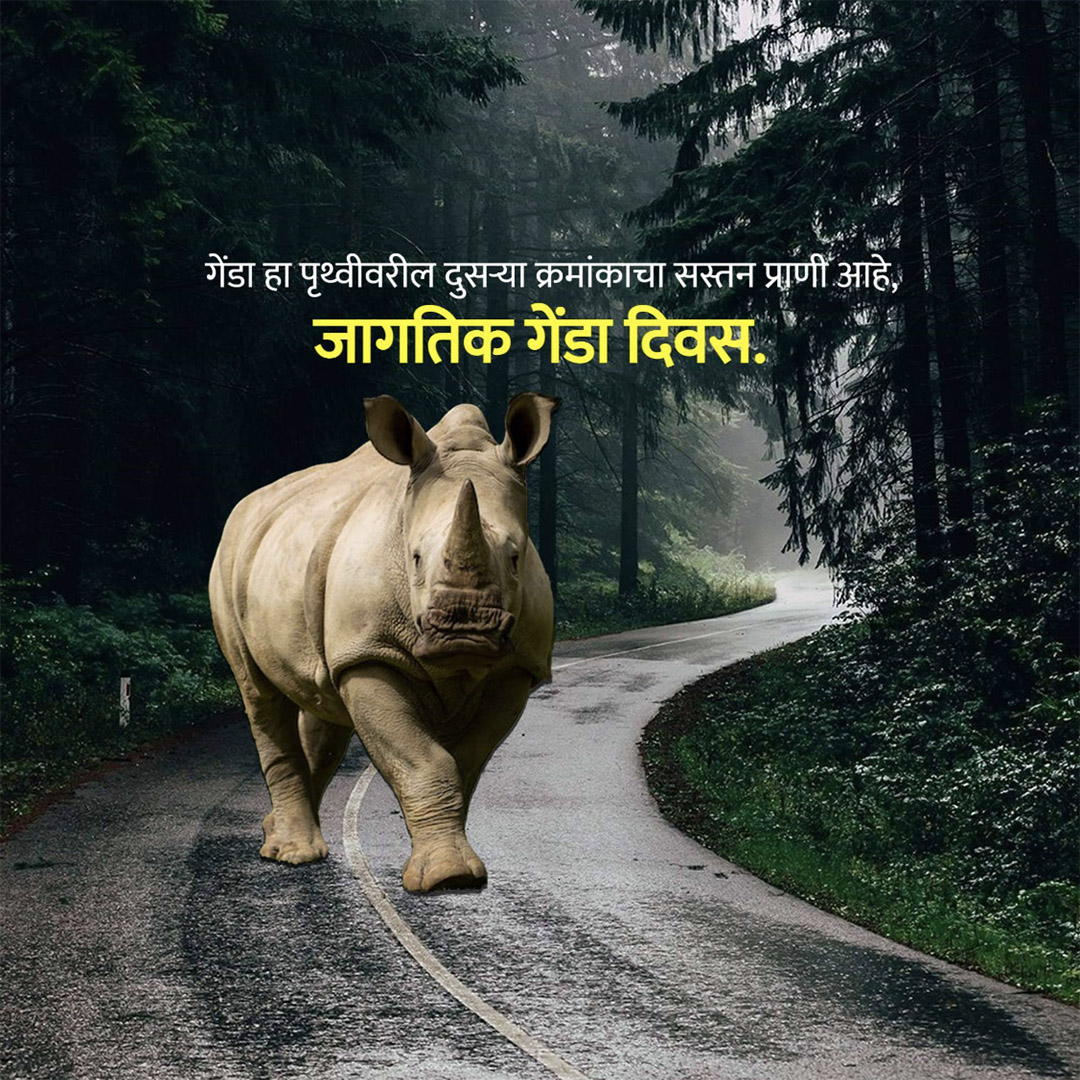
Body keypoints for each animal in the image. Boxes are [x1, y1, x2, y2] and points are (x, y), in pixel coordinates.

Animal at [209, 393, 560, 892]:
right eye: (414, 558)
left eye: (515, 558)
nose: (464, 629)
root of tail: (245, 507)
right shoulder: (371, 654)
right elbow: (424, 761)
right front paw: (447, 879)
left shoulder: (515, 668)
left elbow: (463, 762)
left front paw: (454, 870)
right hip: (228, 559)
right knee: (258, 693)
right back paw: (292, 854)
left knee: (324, 705)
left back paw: (277, 832)